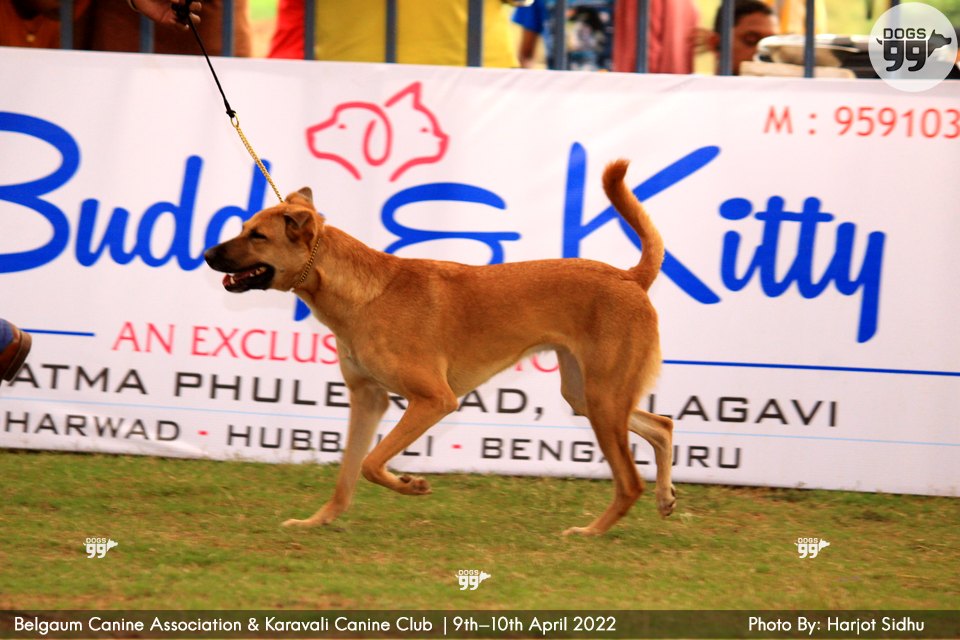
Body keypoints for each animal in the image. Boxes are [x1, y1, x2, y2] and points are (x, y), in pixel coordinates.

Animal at [204, 160, 675, 536]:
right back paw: (664, 496)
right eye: (243, 229)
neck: (364, 293)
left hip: (602, 400)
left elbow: (371, 463)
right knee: (663, 424)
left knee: (630, 481)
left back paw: (590, 532)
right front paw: (317, 521)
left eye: (258, 236)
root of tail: (629, 276)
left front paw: (410, 484)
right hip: (587, 396)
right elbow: (348, 473)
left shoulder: (433, 400)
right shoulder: (367, 399)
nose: (206, 253)